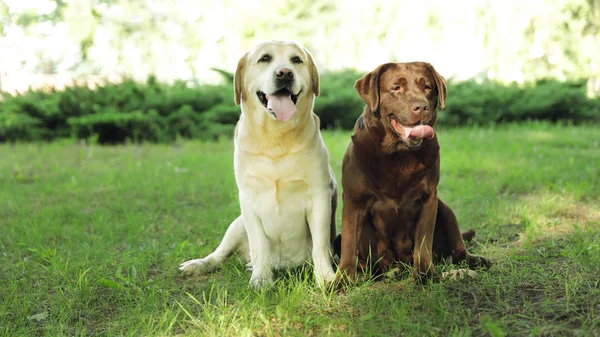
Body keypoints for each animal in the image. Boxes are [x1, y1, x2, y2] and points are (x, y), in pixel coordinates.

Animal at [178, 40, 338, 288]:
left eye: (296, 60)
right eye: (265, 59)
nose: (285, 73)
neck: (275, 137)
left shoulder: (320, 196)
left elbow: (320, 245)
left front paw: (325, 277)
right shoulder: (248, 200)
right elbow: (259, 243)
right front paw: (261, 278)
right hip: (236, 225)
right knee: (219, 254)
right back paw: (198, 265)